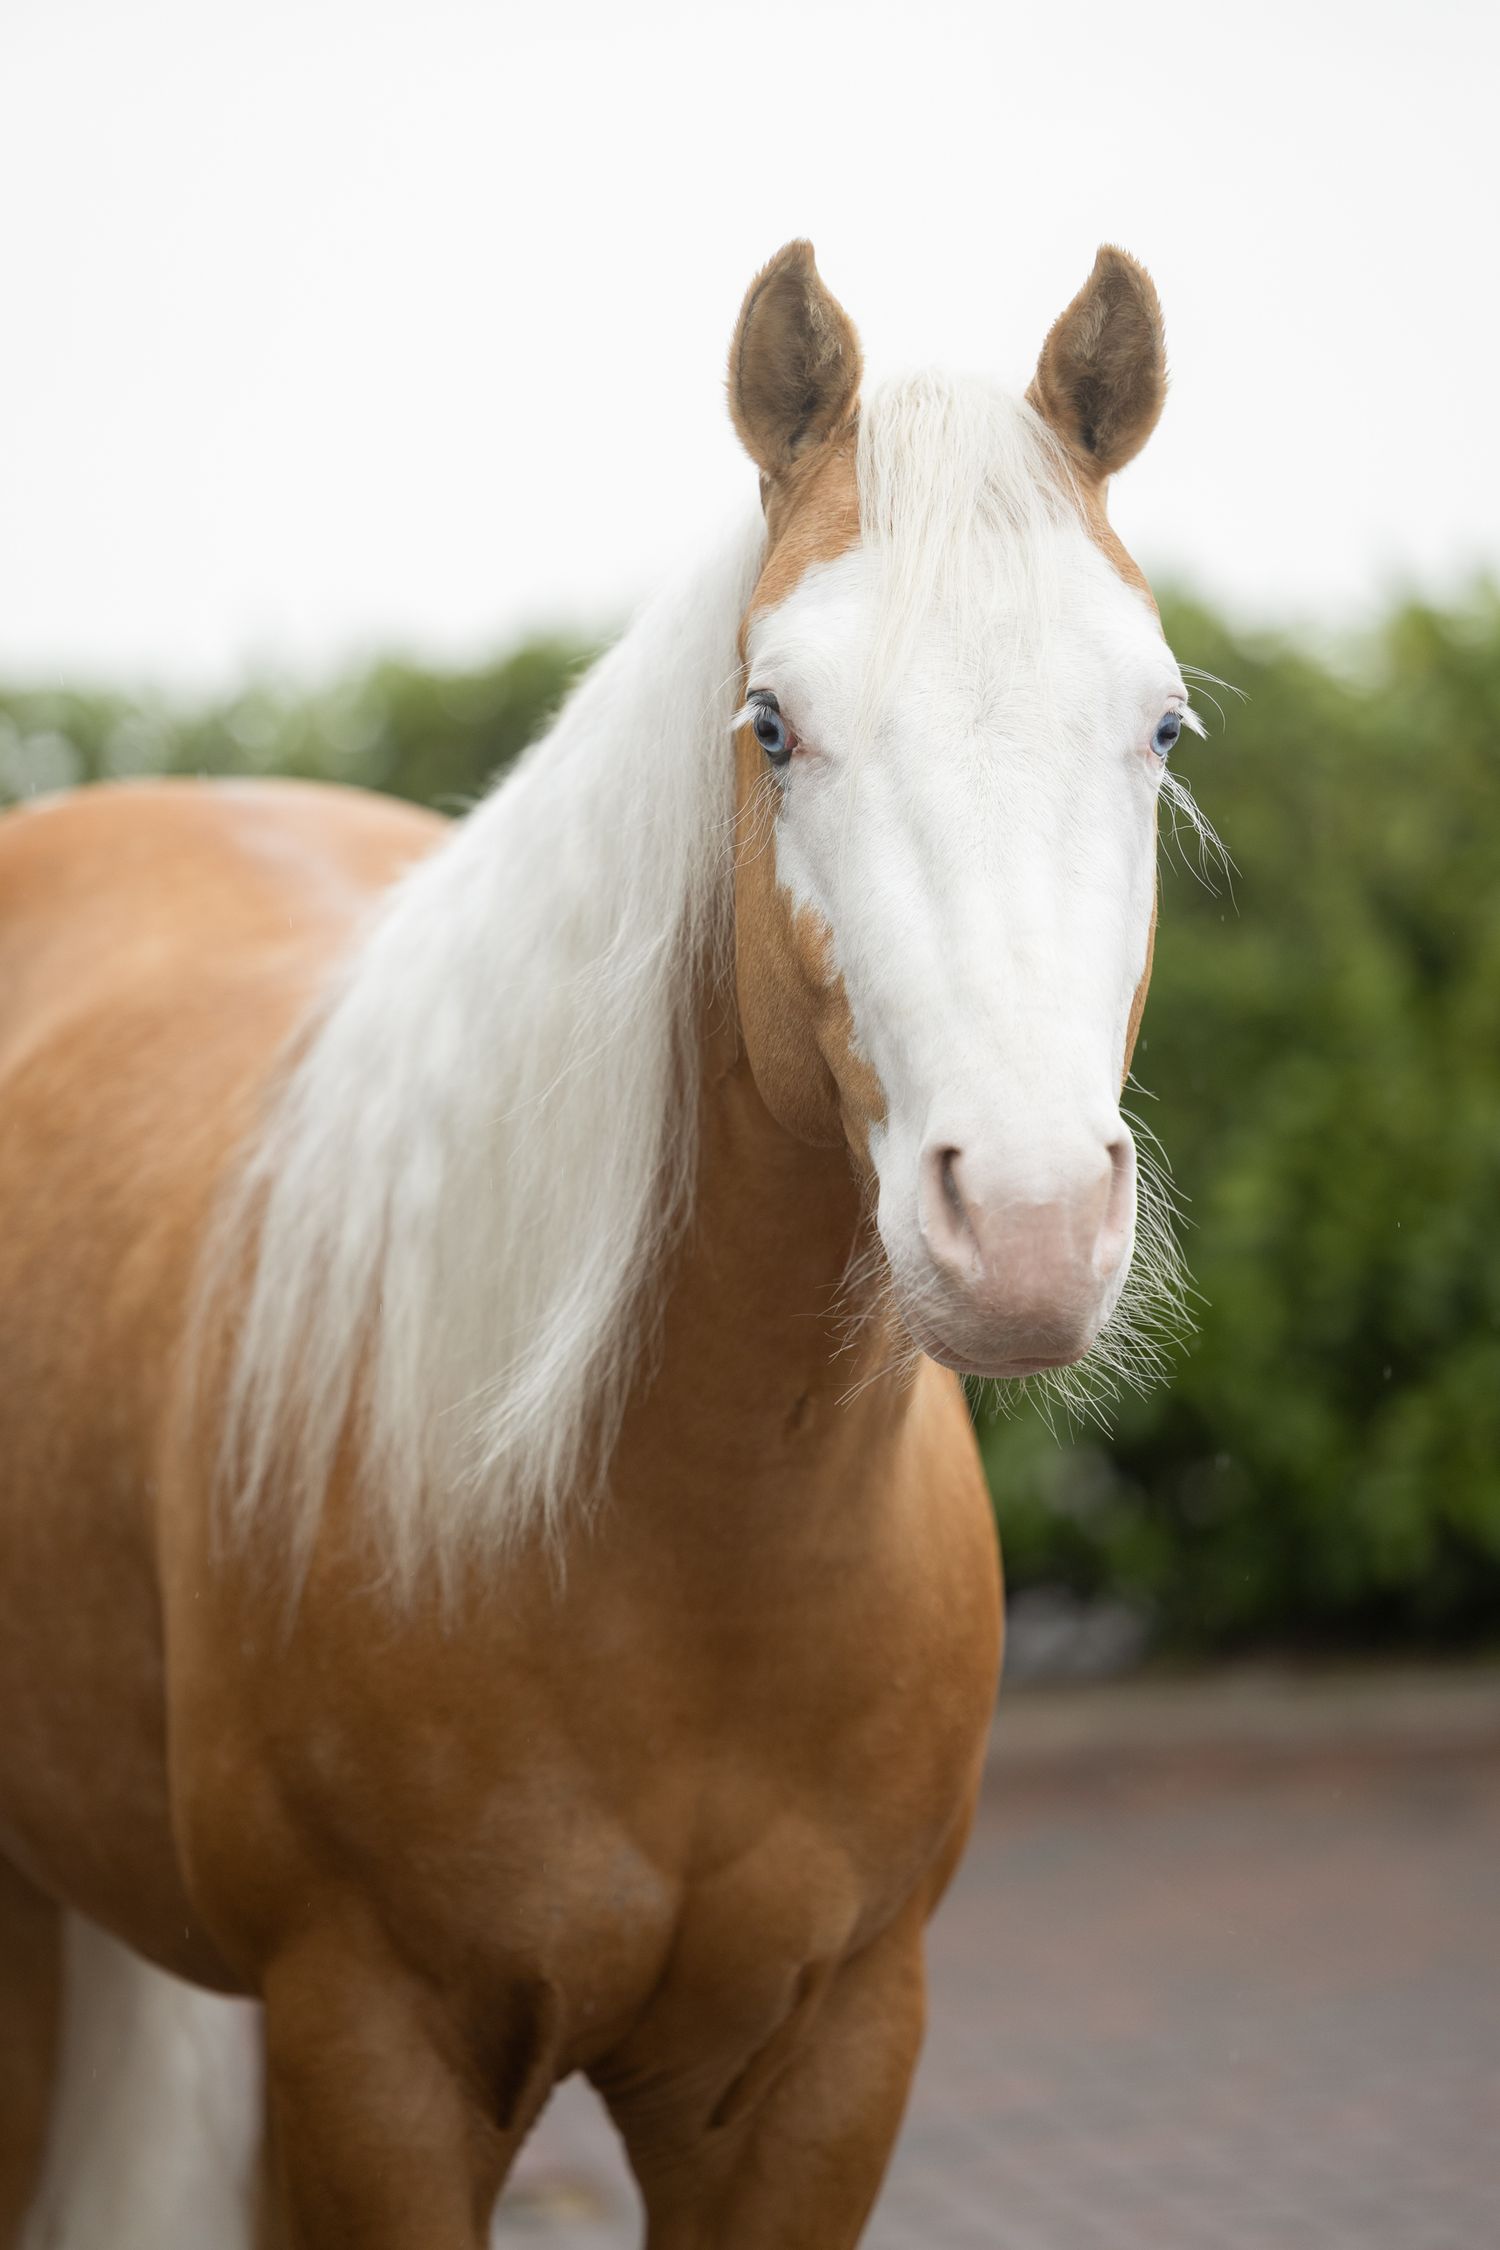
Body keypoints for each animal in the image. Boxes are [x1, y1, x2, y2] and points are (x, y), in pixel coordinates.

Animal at [0, 240, 1193, 2248]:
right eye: (773, 724)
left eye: (1163, 725)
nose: (1028, 1222)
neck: (683, 1556)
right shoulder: (377, 2060)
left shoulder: (818, 2076)